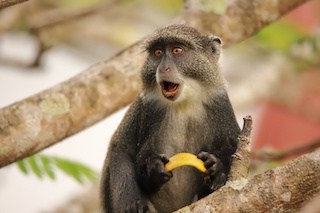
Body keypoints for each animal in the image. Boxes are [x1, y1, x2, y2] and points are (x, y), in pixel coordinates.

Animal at [100, 25, 240, 213]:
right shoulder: (148, 109)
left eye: (177, 50)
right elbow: (129, 155)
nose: (163, 68)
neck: (184, 102)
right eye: (158, 53)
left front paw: (216, 167)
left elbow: (231, 146)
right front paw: (153, 170)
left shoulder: (219, 103)